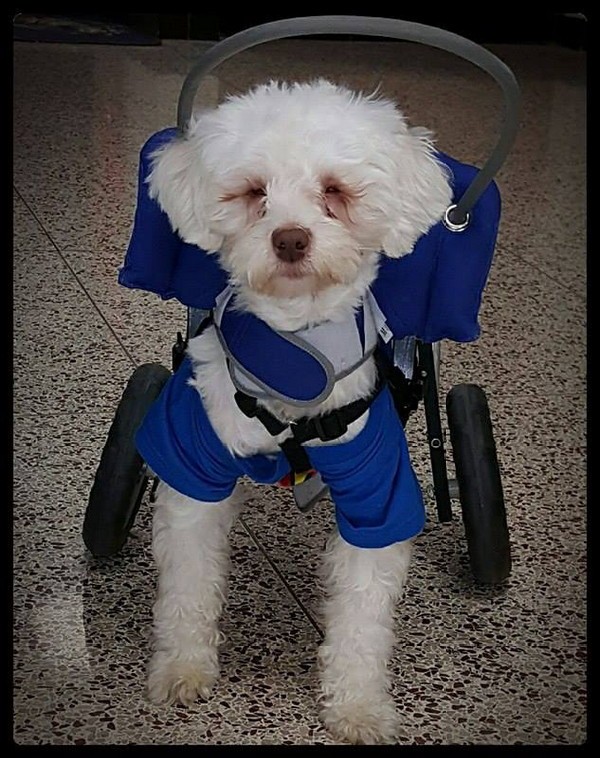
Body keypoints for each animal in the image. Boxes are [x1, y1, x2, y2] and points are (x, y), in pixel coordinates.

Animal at [141, 80, 450, 744]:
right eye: (254, 192)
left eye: (334, 190)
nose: (289, 238)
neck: (292, 359)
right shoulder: (191, 469)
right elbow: (187, 588)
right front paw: (182, 668)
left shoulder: (377, 493)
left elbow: (362, 620)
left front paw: (357, 706)